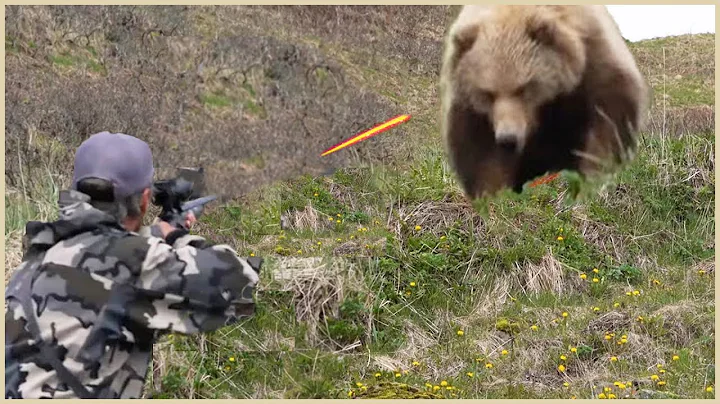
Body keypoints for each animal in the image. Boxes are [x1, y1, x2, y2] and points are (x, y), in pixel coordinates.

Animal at [439, 5, 650, 199]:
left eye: (524, 88)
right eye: (487, 93)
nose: (508, 139)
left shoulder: (595, 65)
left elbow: (606, 124)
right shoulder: (473, 113)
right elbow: (480, 156)